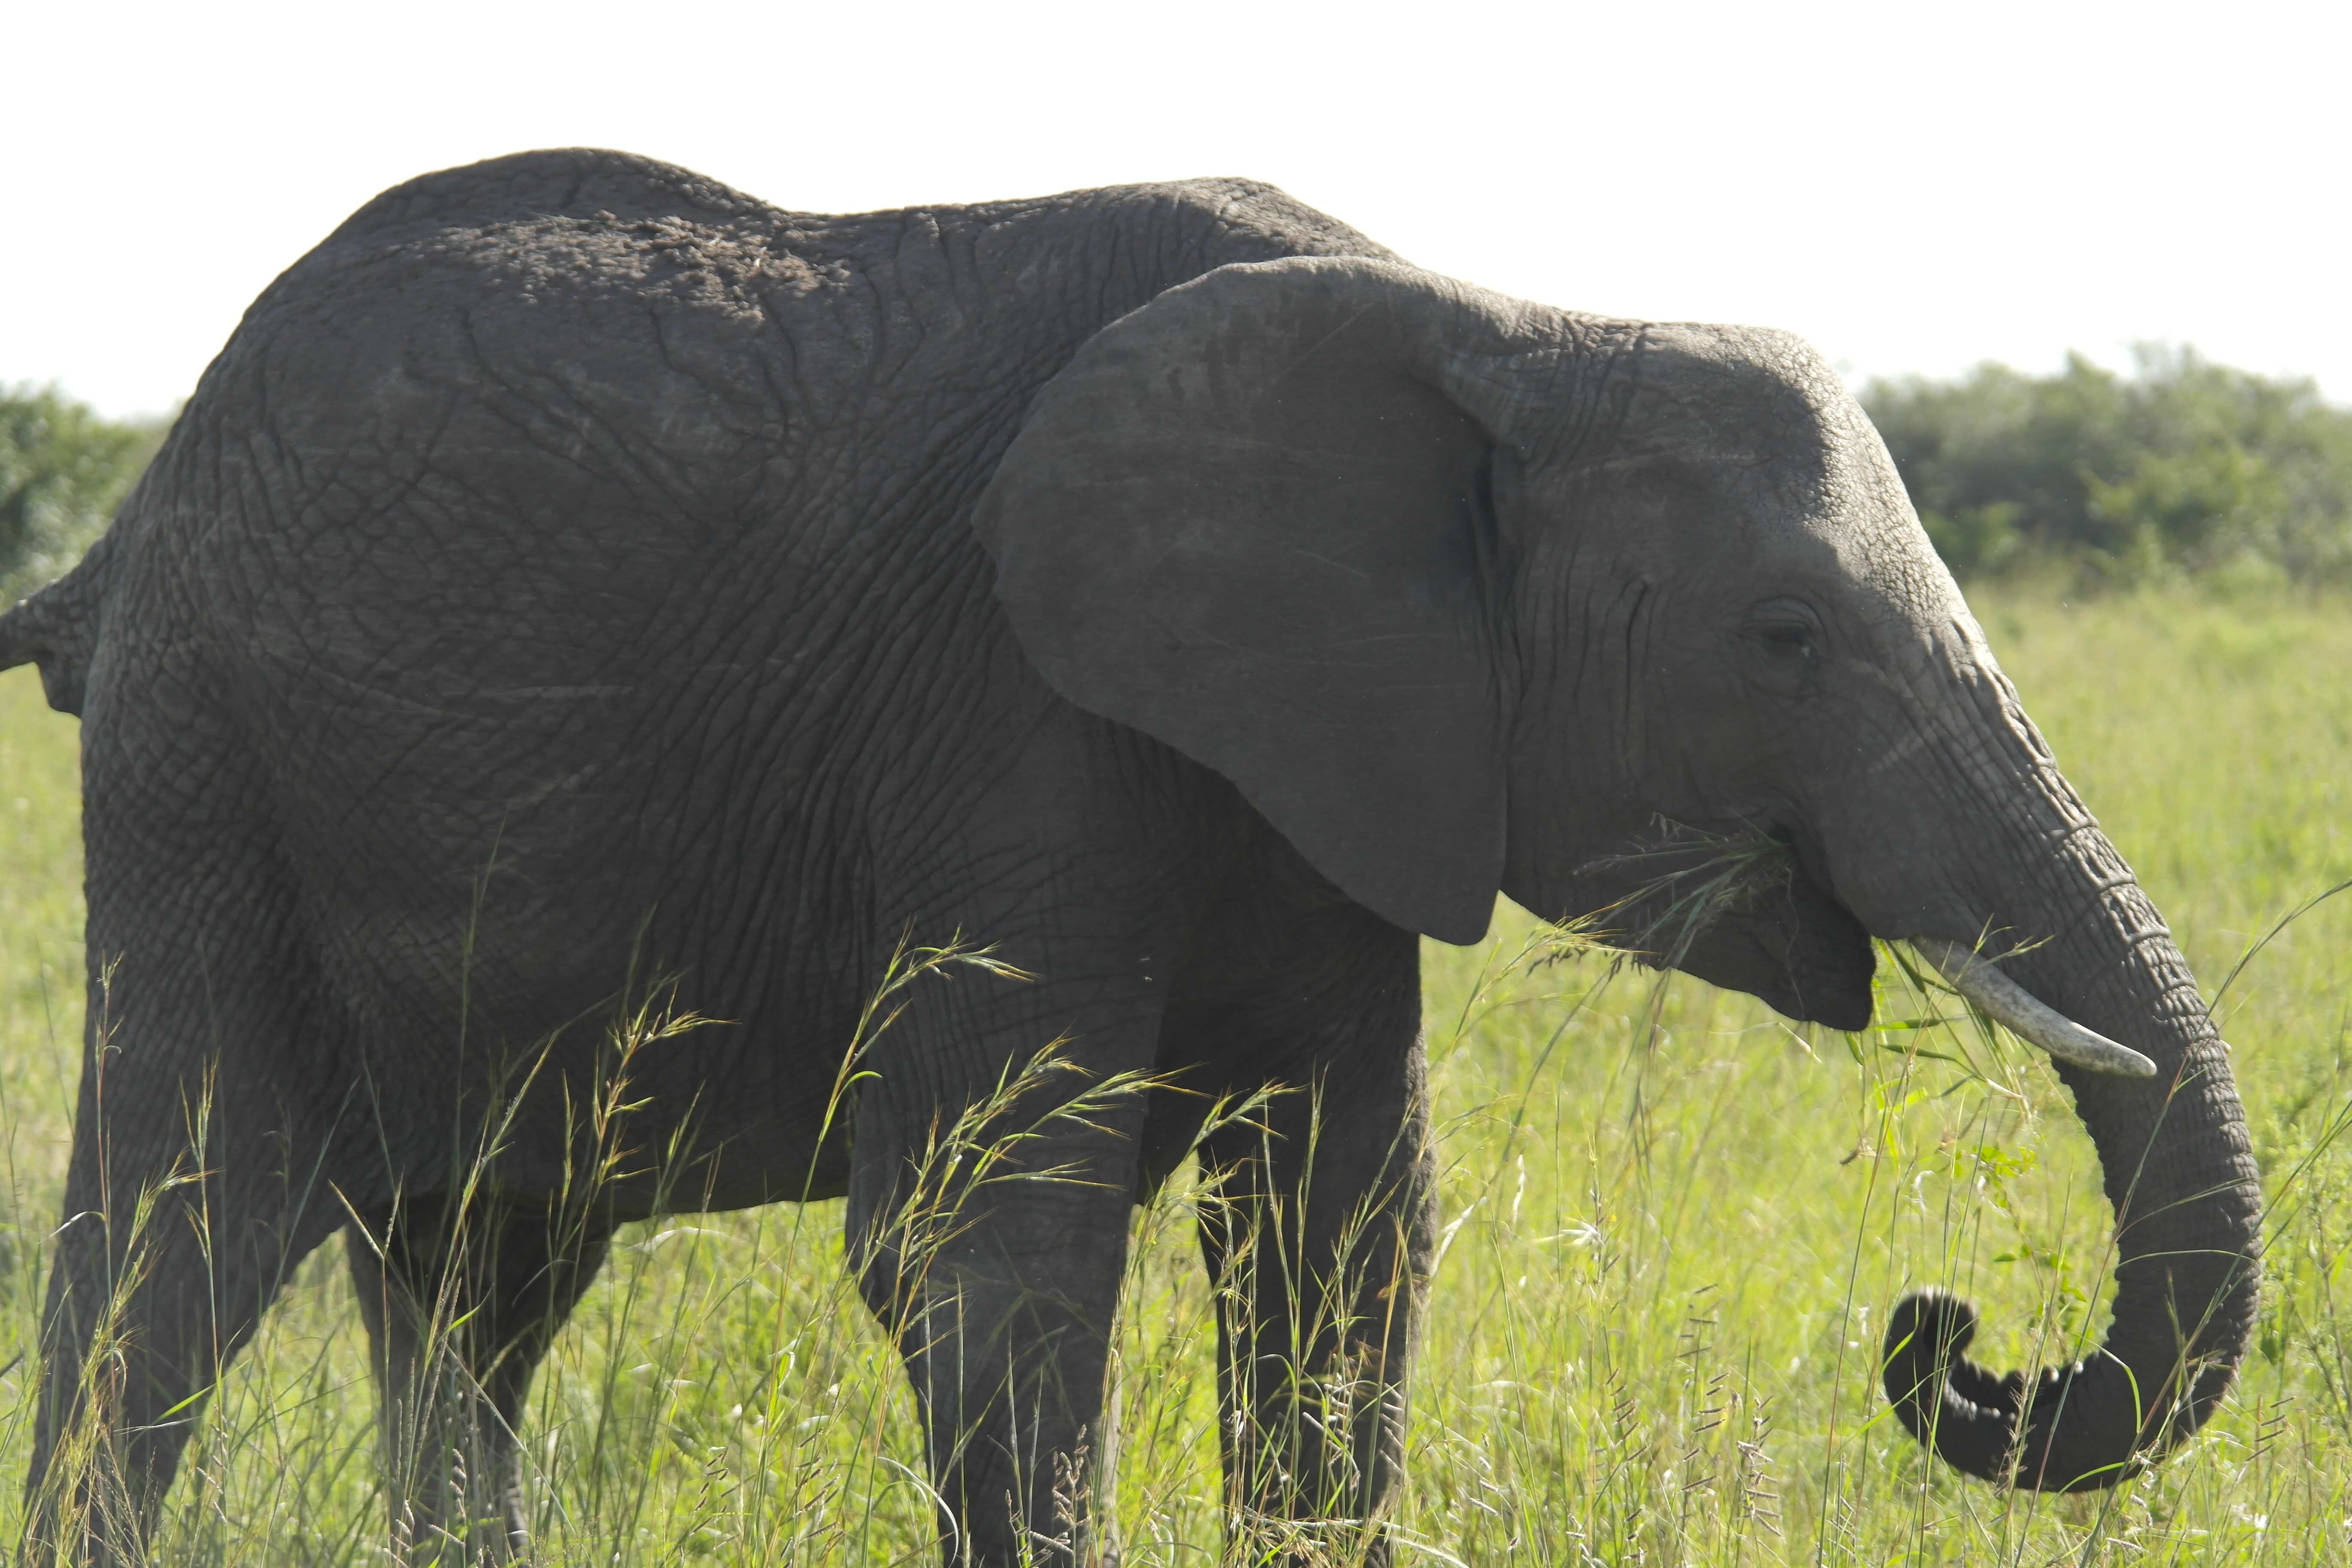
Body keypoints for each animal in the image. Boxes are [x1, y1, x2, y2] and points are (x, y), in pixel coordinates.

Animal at [0, 147, 2260, 1564]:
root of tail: (128, 530)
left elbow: (1344, 1230)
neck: (1500, 319)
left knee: (475, 1281)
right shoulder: (1013, 719)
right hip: (206, 773)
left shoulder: (1339, 763)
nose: (1941, 1330)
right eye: (1784, 640)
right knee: (175, 1250)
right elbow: (978, 1239)